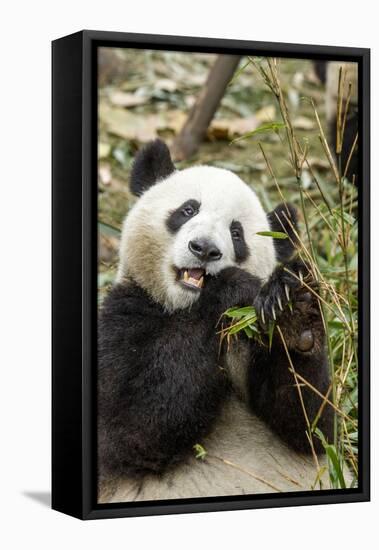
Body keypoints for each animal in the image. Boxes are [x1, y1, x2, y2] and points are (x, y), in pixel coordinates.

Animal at [97, 139, 332, 504]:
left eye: (236, 233)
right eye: (188, 210)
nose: (204, 249)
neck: (182, 309)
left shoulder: (249, 339)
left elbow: (308, 431)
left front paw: (296, 308)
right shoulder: (123, 316)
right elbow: (131, 431)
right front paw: (233, 286)